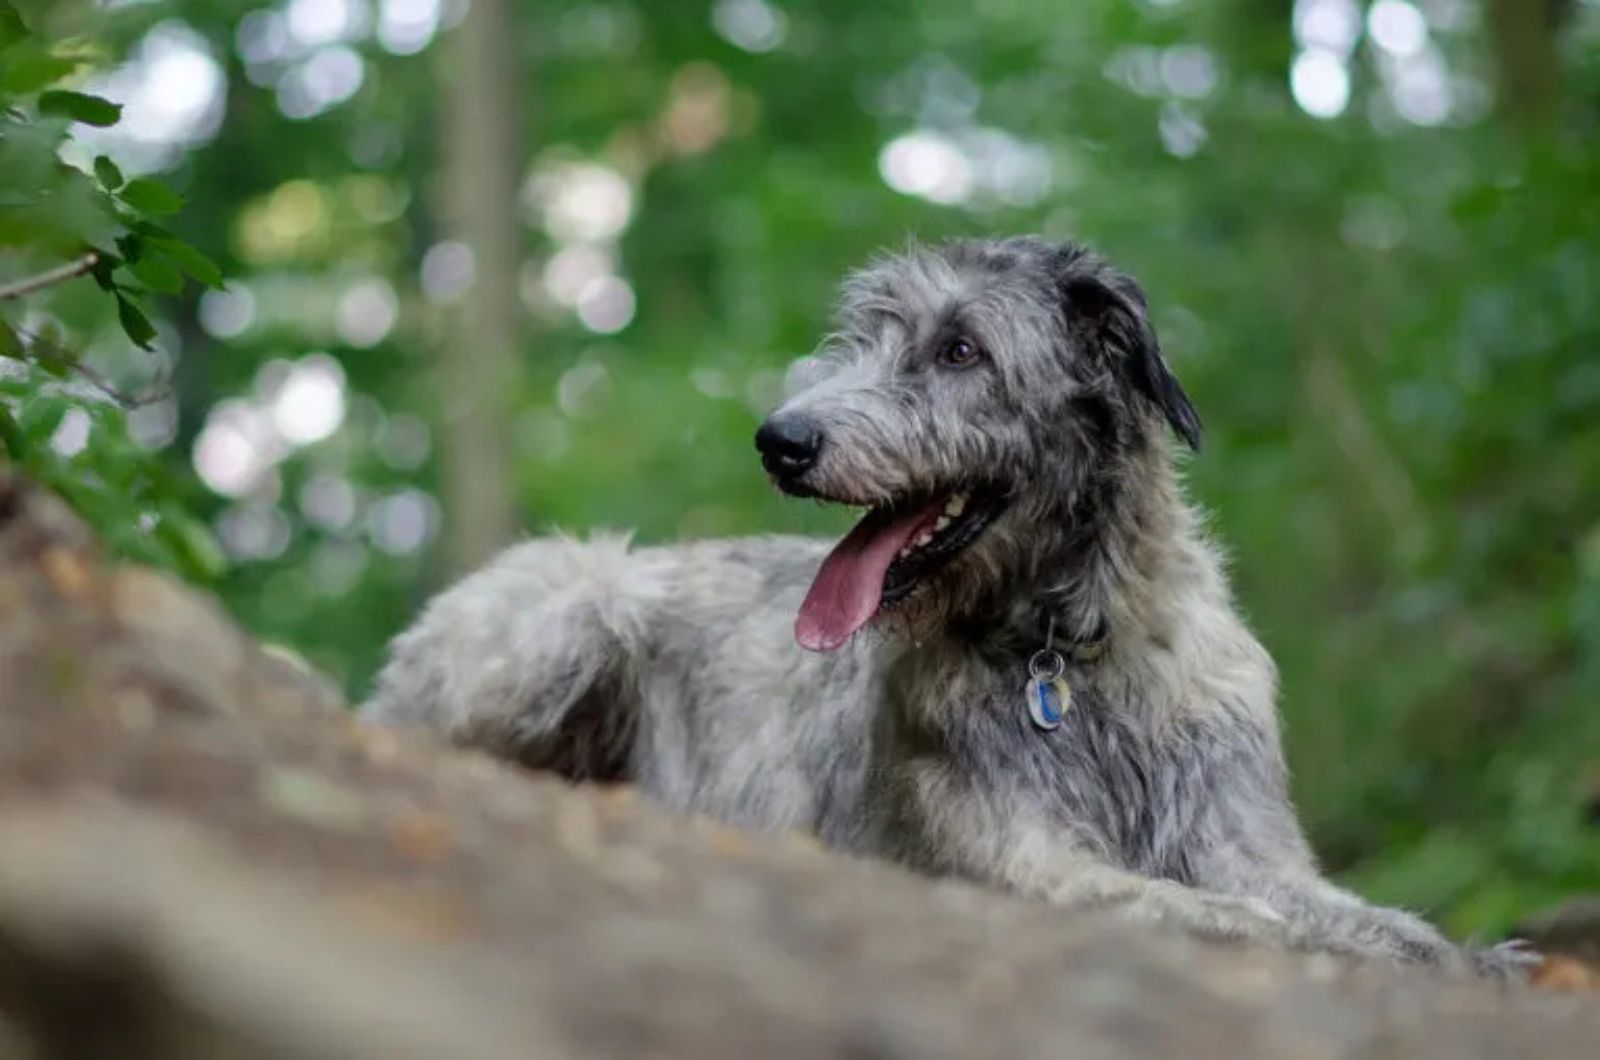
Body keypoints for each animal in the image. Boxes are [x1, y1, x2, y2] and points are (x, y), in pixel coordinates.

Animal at [371, 235, 1523, 979]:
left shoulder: (1242, 831)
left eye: (961, 350)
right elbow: (1217, 911)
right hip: (579, 602)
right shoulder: (1015, 860)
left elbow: (1339, 907)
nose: (779, 440)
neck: (1071, 650)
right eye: (861, 338)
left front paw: (1461, 952)